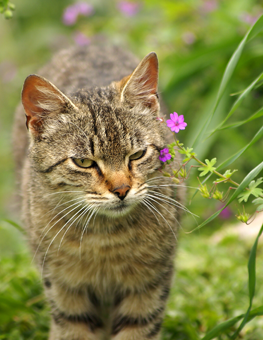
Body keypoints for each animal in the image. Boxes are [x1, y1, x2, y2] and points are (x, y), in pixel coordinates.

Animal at [12, 45, 186, 340]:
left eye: (137, 155)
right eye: (84, 162)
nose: (122, 189)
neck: (105, 238)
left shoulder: (149, 284)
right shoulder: (64, 288)